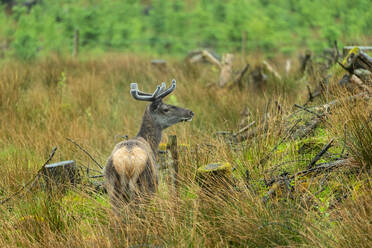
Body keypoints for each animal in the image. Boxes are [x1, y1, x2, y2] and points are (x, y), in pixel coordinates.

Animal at [103, 79, 193, 209]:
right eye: (165, 109)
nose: (190, 112)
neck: (151, 144)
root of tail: (127, 164)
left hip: (113, 189)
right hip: (146, 185)